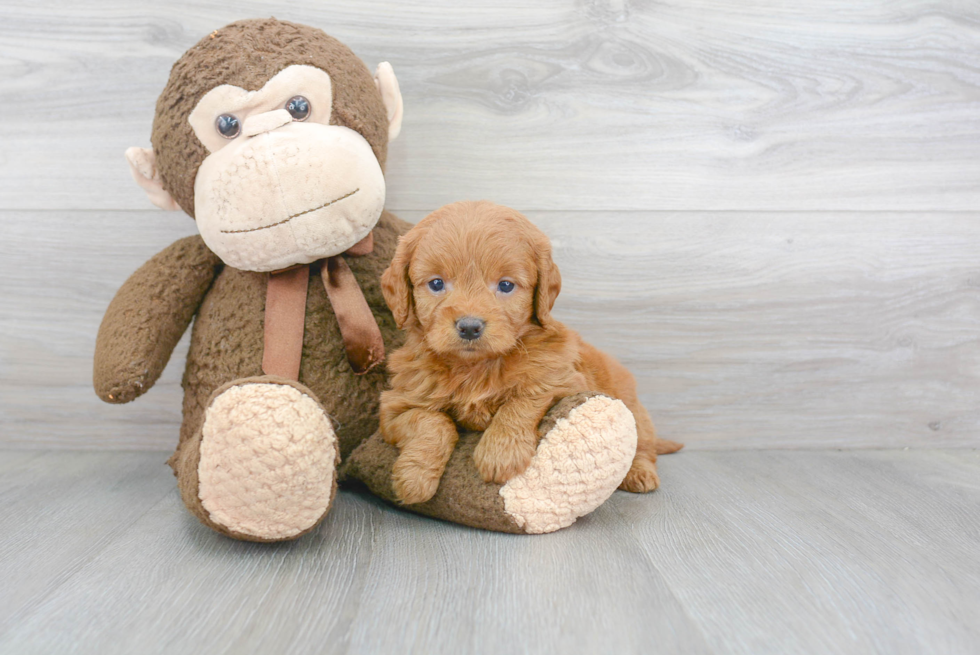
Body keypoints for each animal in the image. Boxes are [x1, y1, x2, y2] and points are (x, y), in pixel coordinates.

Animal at [378, 202, 680, 504]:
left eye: (506, 285)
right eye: (436, 284)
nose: (470, 327)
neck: (476, 367)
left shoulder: (564, 380)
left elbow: (523, 398)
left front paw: (500, 453)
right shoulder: (395, 407)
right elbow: (433, 422)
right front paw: (414, 478)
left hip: (634, 412)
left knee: (642, 446)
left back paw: (639, 473)